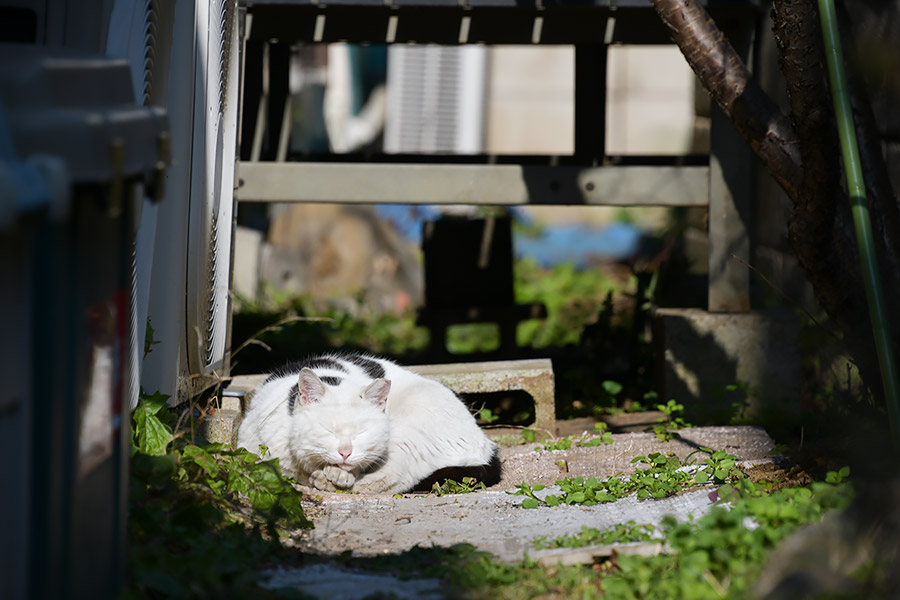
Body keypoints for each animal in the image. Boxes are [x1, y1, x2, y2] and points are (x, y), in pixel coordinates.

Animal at [236, 352, 500, 492]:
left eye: (360, 433)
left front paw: (337, 477)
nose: (345, 452)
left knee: (391, 480)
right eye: (328, 430)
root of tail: (487, 445)